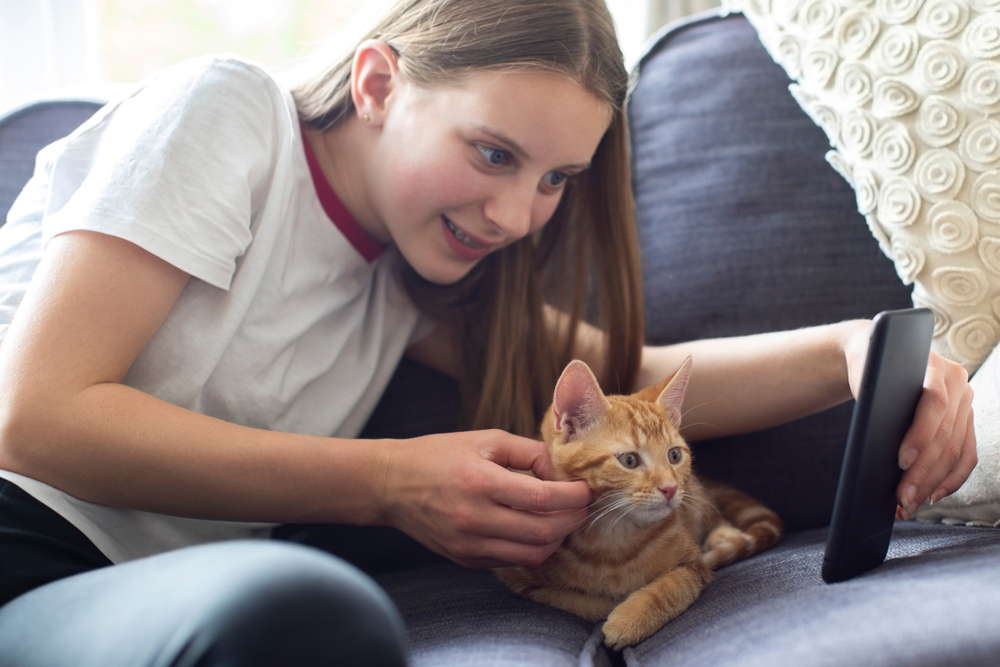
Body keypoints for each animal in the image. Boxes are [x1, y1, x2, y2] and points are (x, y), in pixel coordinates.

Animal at [496, 358, 784, 648]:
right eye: (630, 460)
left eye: (674, 455)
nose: (670, 488)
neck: (611, 539)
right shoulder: (516, 575)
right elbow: (564, 599)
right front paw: (605, 607)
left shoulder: (696, 565)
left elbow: (675, 585)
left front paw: (630, 619)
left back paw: (723, 534)